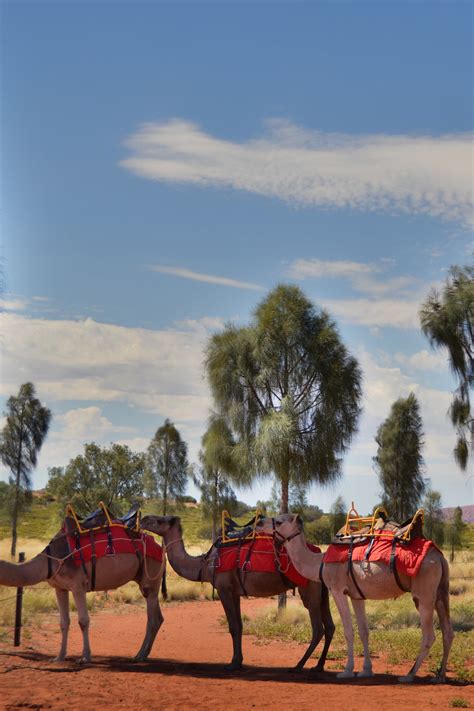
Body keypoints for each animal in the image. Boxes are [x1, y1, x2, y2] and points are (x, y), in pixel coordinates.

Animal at [0, 520, 167, 664]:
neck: (51, 560)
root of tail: (161, 548)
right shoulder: (60, 588)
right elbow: (64, 622)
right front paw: (59, 657)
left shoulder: (77, 586)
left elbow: (83, 621)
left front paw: (85, 657)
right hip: (144, 580)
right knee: (158, 617)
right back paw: (145, 653)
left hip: (151, 576)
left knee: (152, 618)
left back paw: (139, 655)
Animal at [142, 512, 336, 672]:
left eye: (159, 520)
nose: (143, 519)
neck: (204, 564)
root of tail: (319, 554)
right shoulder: (235, 592)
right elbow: (240, 626)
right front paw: (239, 660)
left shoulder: (223, 589)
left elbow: (233, 627)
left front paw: (233, 663)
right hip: (322, 592)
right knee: (330, 626)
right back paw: (318, 666)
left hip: (309, 590)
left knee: (318, 628)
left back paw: (299, 665)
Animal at [260, 516, 456, 684]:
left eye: (279, 521)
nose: (260, 521)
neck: (320, 563)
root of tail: (439, 557)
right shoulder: (356, 595)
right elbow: (363, 631)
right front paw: (366, 670)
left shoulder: (338, 590)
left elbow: (348, 631)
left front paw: (347, 671)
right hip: (441, 592)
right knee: (448, 631)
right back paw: (439, 676)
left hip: (424, 594)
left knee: (429, 635)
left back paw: (409, 675)